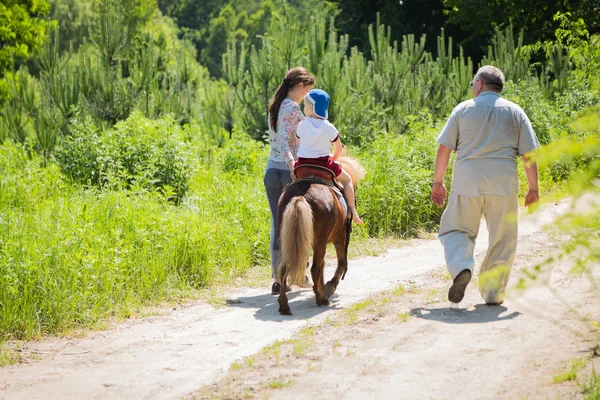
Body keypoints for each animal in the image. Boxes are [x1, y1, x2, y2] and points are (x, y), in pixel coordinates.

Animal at [276, 156, 366, 316]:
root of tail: (301, 195)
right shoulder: (340, 239)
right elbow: (342, 264)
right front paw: (329, 287)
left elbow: (324, 264)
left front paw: (322, 287)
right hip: (320, 242)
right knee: (315, 269)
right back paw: (322, 299)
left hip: (285, 240)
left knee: (284, 267)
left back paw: (284, 305)